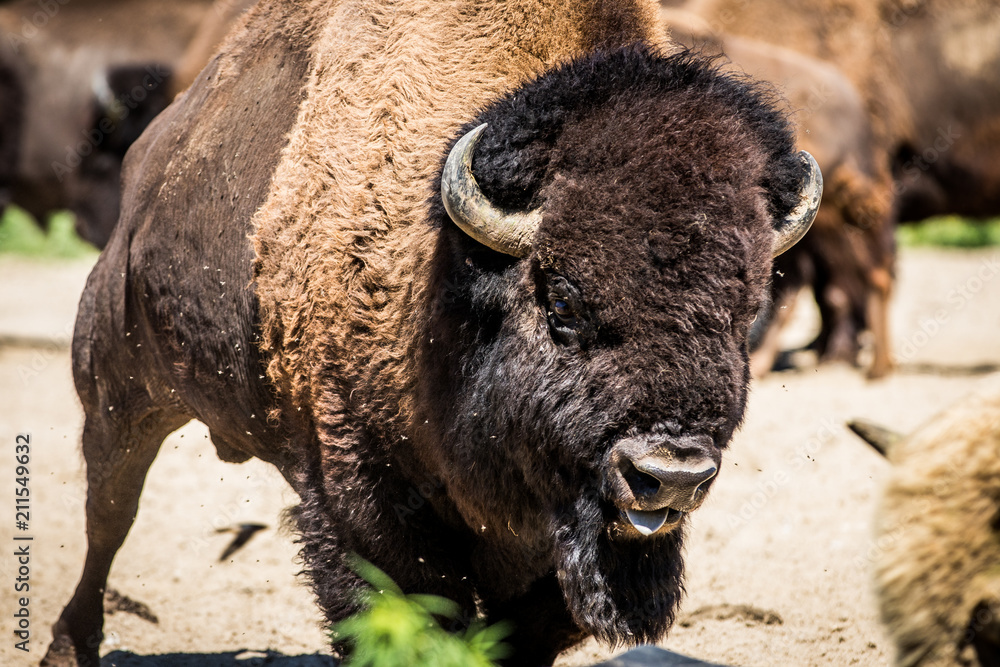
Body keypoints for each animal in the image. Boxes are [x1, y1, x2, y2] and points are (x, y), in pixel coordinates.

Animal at [43, 1, 821, 665]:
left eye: (743, 310)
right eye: (563, 301)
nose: (670, 473)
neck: (449, 276)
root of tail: (155, 155)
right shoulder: (361, 495)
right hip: (115, 387)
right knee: (107, 516)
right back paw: (67, 647)